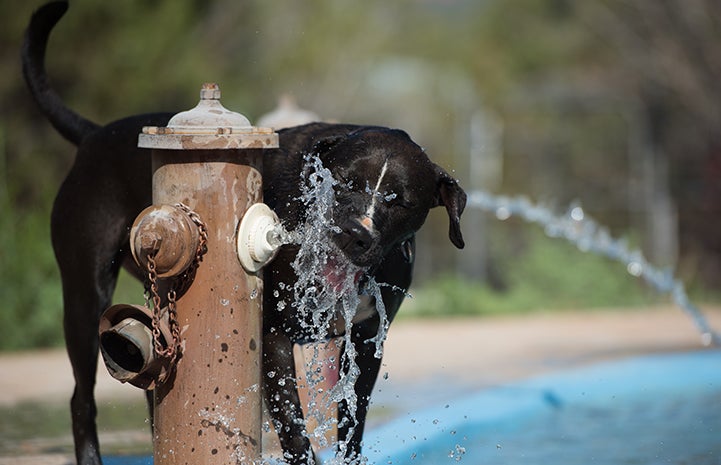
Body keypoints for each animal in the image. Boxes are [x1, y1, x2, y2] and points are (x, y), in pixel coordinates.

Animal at [22, 1, 466, 462]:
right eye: (343, 181)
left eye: (400, 201)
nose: (352, 233)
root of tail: (93, 134)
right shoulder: (273, 337)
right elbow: (293, 429)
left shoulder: (364, 341)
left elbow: (351, 424)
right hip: (84, 293)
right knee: (81, 398)